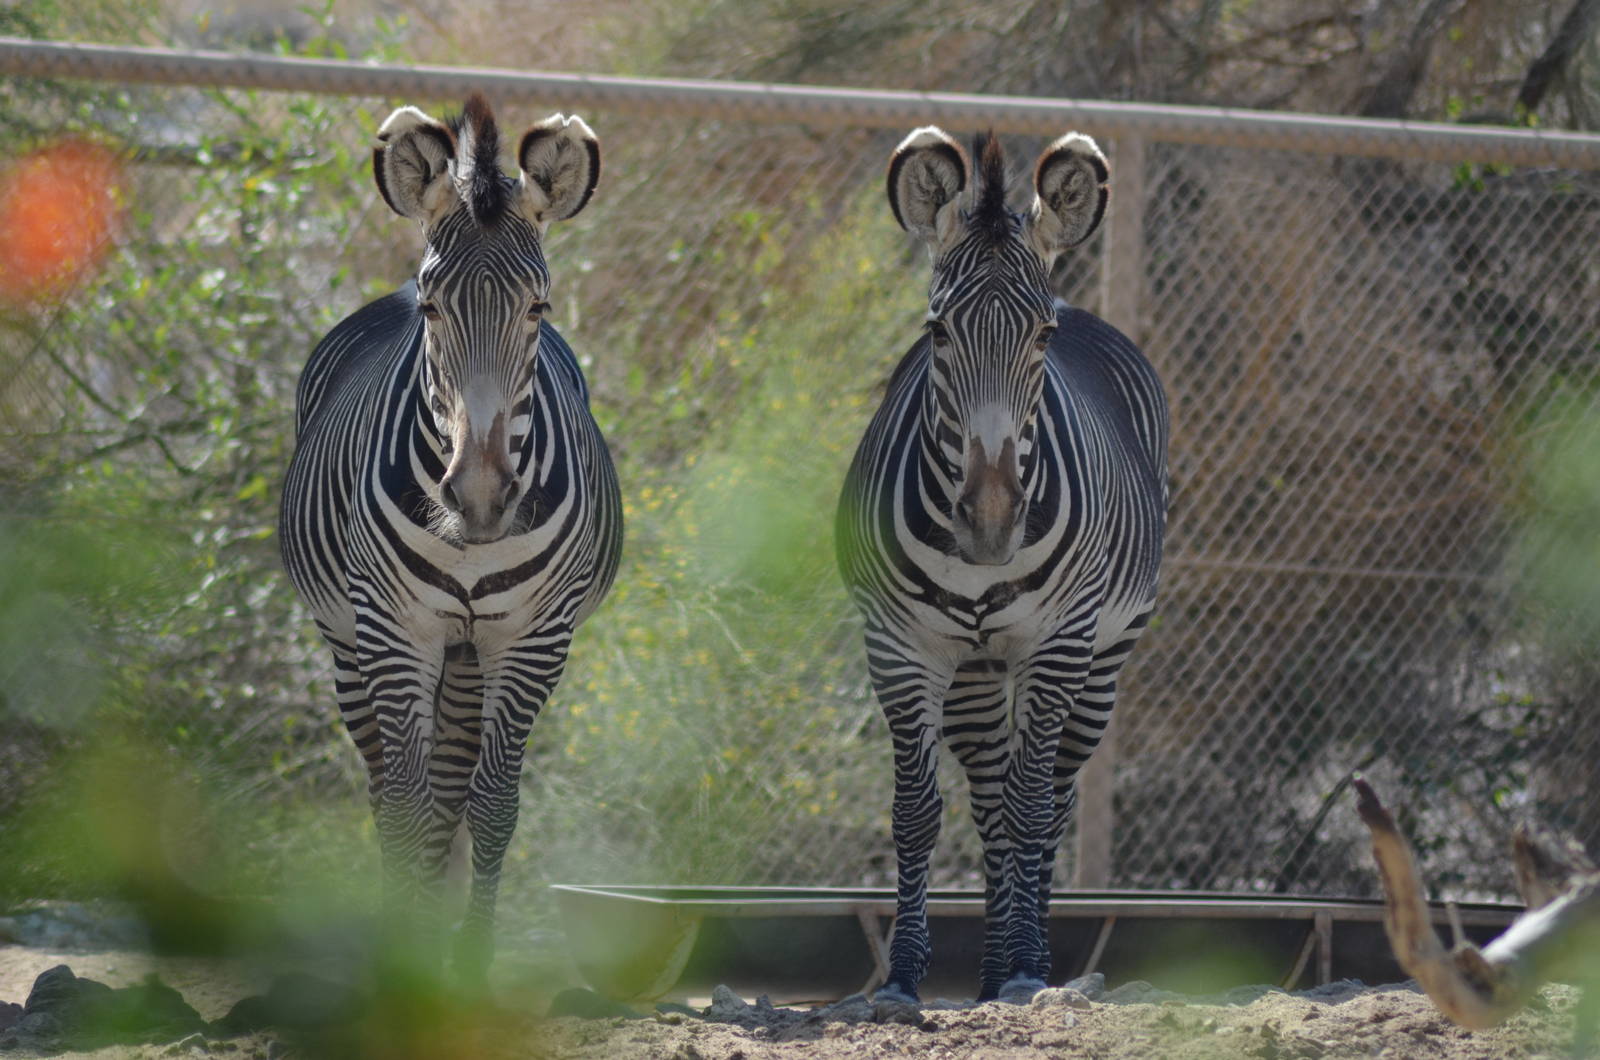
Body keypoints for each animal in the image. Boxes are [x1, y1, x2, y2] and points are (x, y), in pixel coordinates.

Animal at [278, 94, 621, 978]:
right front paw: (403, 959)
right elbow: (403, 803)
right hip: (347, 640)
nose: (479, 497)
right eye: (434, 309)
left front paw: (465, 964)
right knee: (388, 787)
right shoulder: (395, 630)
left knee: (453, 787)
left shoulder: (534, 638)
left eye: (539, 308)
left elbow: (491, 803)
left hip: (469, 653)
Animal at [836, 127, 1168, 1004]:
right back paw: (987, 972)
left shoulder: (1057, 646)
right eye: (937, 332)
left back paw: (1029, 960)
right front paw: (903, 977)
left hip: (1103, 658)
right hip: (977, 671)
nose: (989, 523)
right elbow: (919, 810)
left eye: (1040, 339)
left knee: (1049, 797)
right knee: (988, 794)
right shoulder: (900, 647)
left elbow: (1029, 807)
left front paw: (1024, 968)